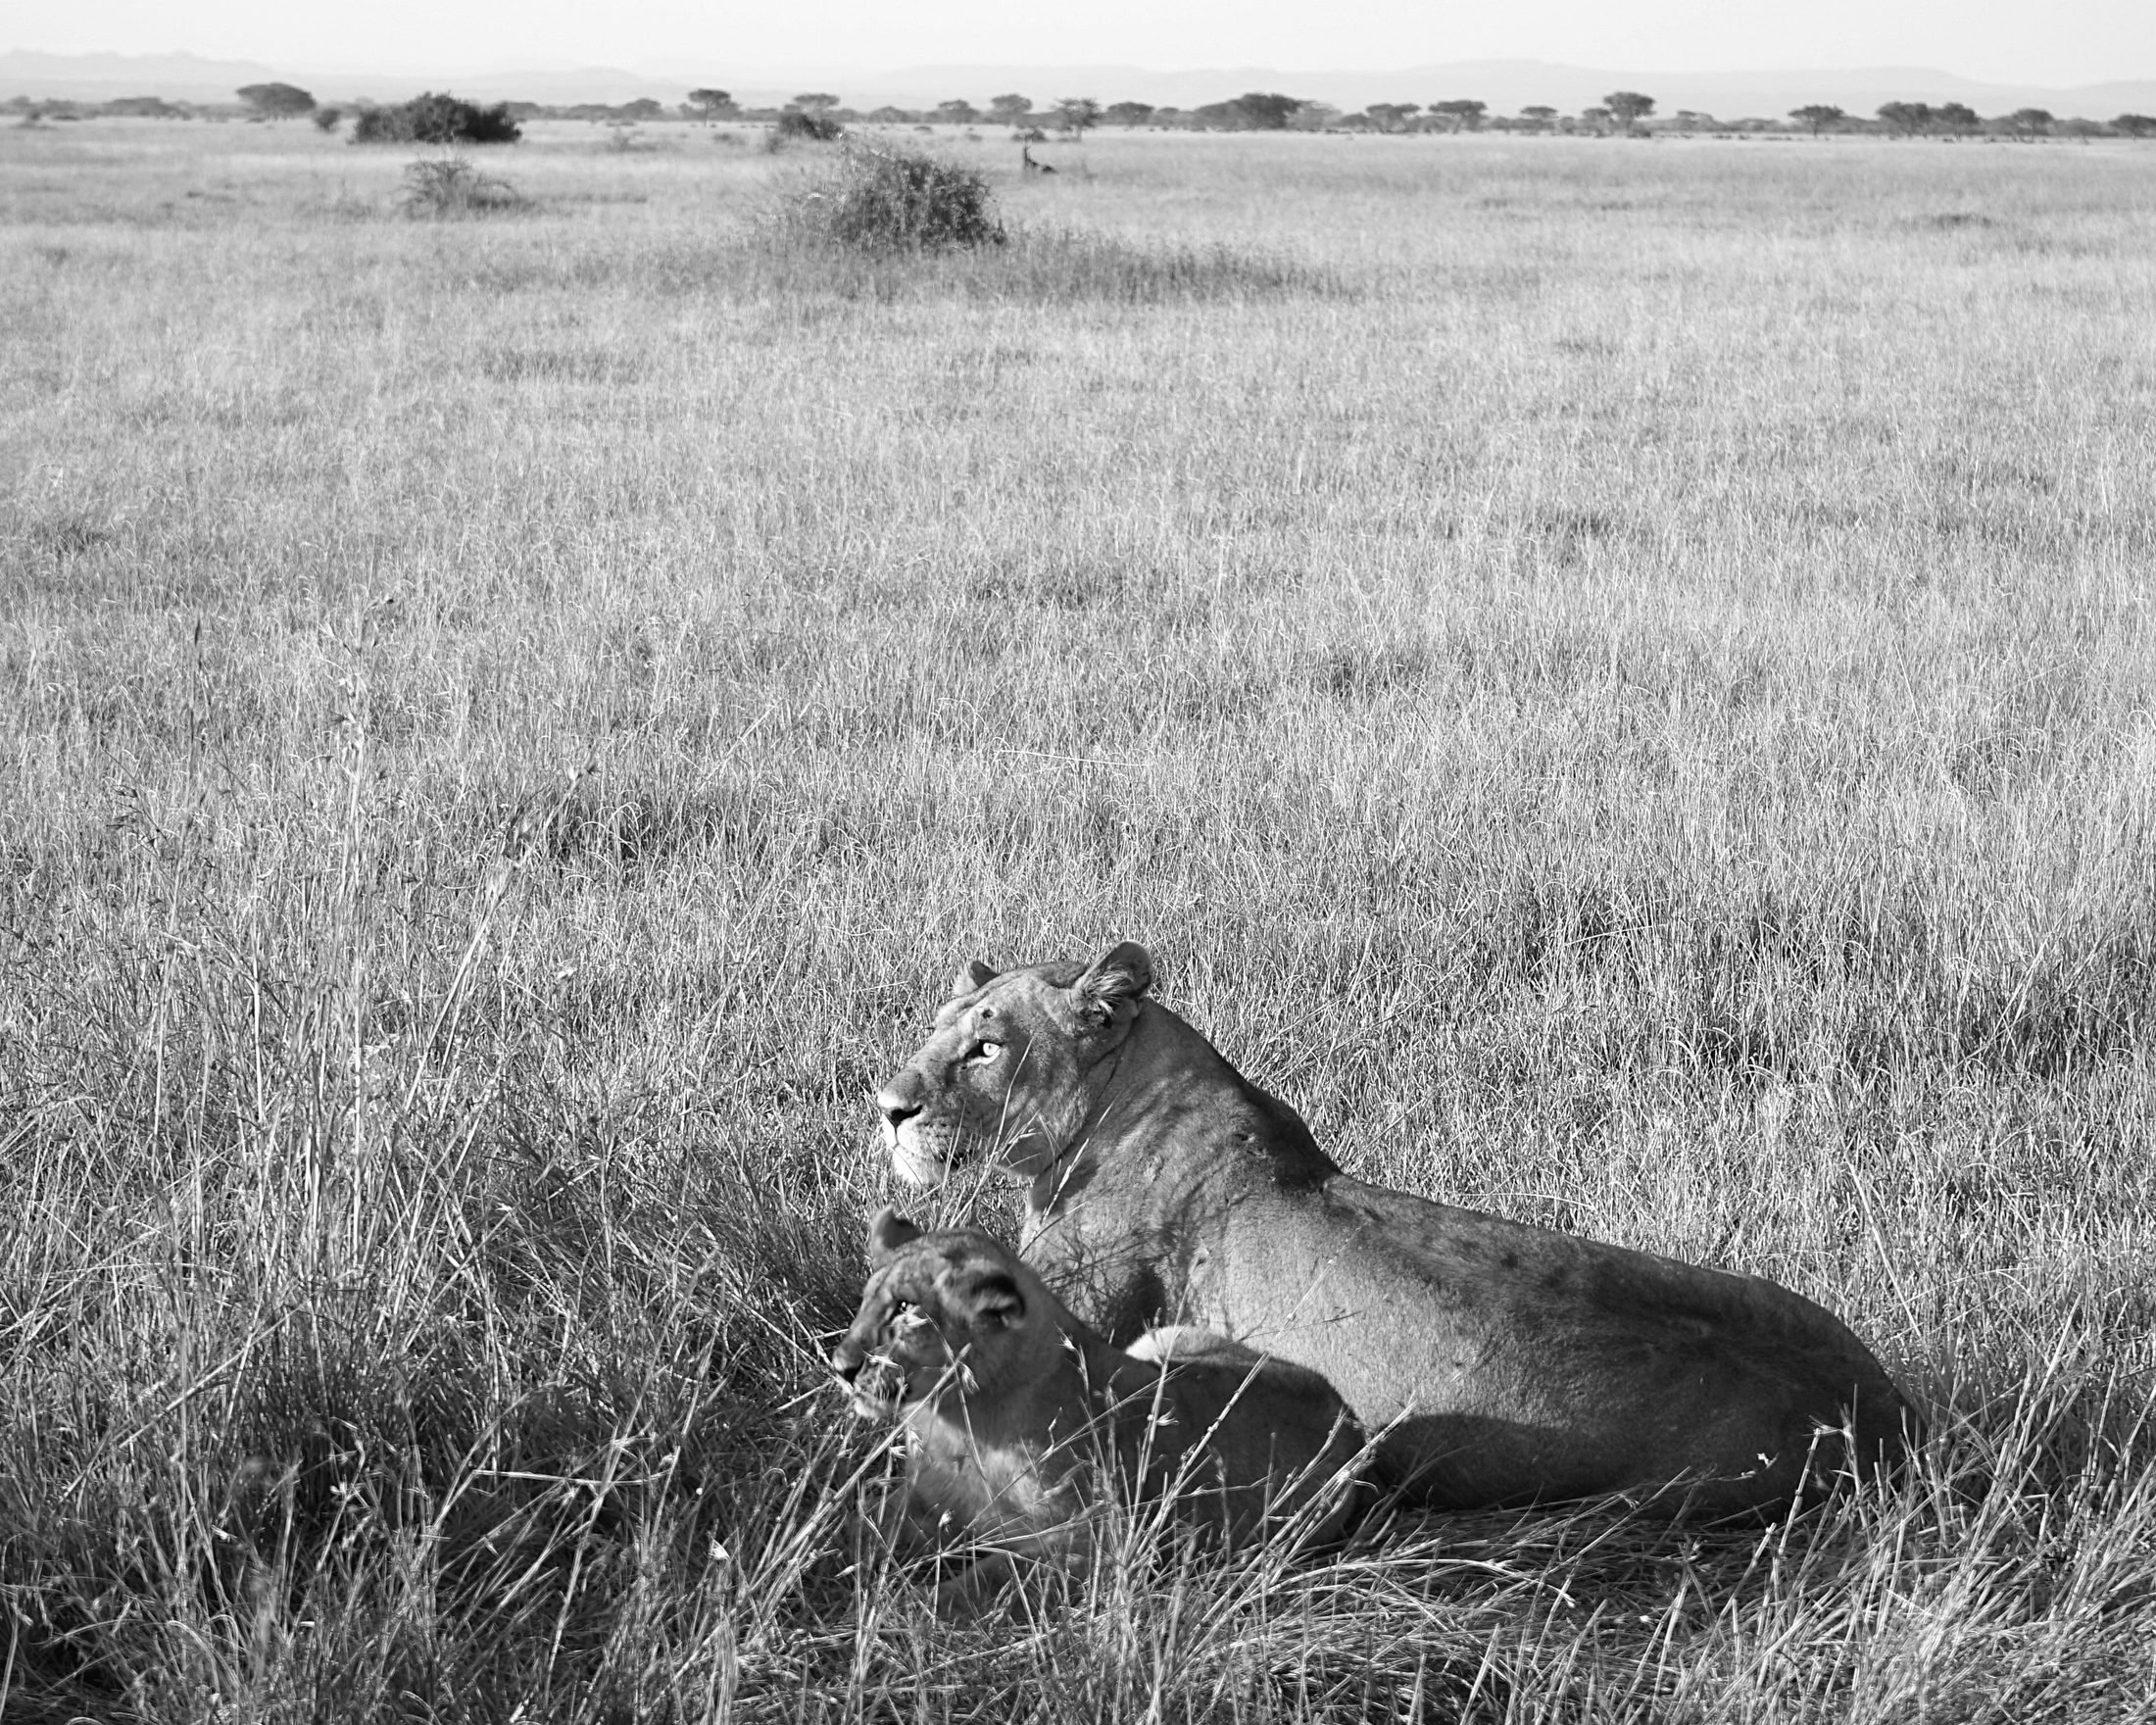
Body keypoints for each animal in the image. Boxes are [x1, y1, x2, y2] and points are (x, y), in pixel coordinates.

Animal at [831, 1208, 1366, 1608]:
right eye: (866, 1300)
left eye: (906, 1309)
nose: (840, 1366)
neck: (956, 1422)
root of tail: (1351, 1418)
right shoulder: (927, 1500)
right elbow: (857, 1523)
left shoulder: (1094, 1544)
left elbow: (982, 1586)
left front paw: (903, 1616)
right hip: (1162, 1340)